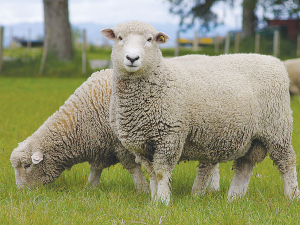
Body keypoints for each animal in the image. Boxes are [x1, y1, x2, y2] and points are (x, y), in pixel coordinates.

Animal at [9, 69, 149, 192]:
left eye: (27, 165)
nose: (22, 191)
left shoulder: (122, 146)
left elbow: (134, 169)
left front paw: (142, 189)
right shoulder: (100, 148)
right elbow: (95, 172)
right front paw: (88, 190)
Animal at [101, 20, 300, 204]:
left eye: (150, 39)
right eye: (119, 38)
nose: (132, 58)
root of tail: (275, 61)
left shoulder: (170, 137)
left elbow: (161, 172)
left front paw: (163, 201)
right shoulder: (140, 145)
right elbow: (151, 173)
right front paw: (154, 198)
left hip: (277, 129)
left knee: (287, 162)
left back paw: (291, 196)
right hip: (253, 135)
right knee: (244, 166)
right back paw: (233, 199)